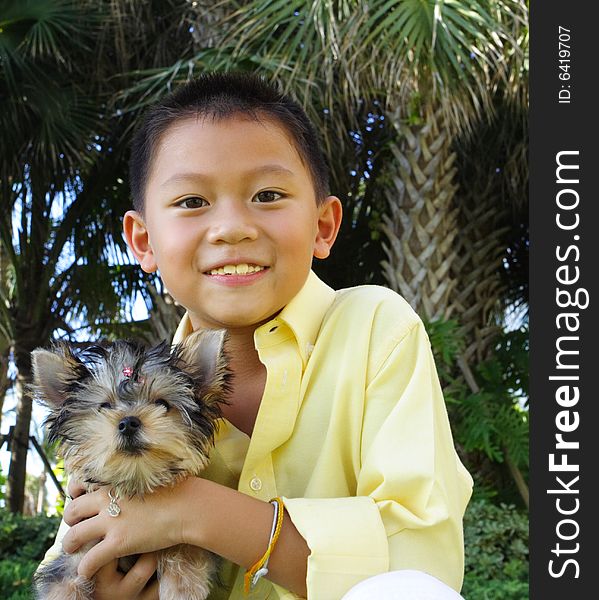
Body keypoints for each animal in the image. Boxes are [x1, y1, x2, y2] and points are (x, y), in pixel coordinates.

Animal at [31, 328, 231, 600]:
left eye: (162, 404)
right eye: (104, 406)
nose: (128, 422)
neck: (135, 483)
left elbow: (186, 541)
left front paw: (183, 585)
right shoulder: (76, 554)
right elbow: (63, 585)